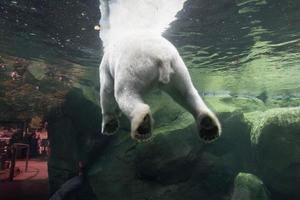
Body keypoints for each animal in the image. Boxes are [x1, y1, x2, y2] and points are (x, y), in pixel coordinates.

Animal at [98, 0, 220, 142]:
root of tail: (161, 56)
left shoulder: (105, 67)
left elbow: (106, 92)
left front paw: (109, 126)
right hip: (177, 69)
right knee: (186, 93)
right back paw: (208, 127)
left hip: (132, 66)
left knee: (125, 94)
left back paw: (142, 126)